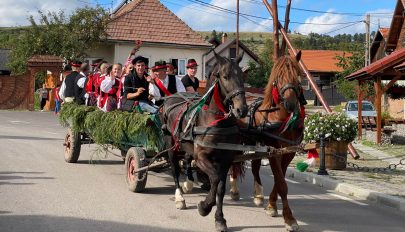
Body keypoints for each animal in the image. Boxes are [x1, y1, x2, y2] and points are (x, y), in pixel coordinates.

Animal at [160, 52, 246, 232]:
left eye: (243, 76)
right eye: (225, 76)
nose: (242, 110)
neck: (216, 121)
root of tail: (170, 97)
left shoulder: (226, 159)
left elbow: (220, 187)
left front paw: (220, 219)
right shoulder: (202, 158)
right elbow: (214, 179)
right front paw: (205, 206)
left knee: (186, 160)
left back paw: (189, 183)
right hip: (171, 144)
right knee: (175, 169)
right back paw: (180, 196)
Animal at [229, 51, 304, 231]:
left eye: (298, 74)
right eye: (278, 76)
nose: (290, 103)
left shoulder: (288, 152)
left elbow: (279, 179)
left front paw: (271, 205)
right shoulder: (274, 151)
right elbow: (282, 184)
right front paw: (289, 219)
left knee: (254, 165)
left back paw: (258, 194)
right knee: (233, 163)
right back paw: (234, 190)